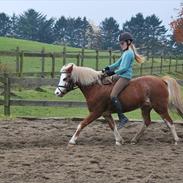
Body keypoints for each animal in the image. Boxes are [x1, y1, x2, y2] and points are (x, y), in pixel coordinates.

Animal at [54, 63, 183, 145]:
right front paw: (119, 140)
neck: (96, 87)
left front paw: (72, 141)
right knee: (147, 122)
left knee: (169, 122)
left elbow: (82, 124)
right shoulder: (106, 114)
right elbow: (113, 126)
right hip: (146, 107)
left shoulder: (96, 112)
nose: (57, 92)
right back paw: (134, 140)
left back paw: (176, 140)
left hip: (160, 107)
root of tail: (161, 80)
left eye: (65, 78)